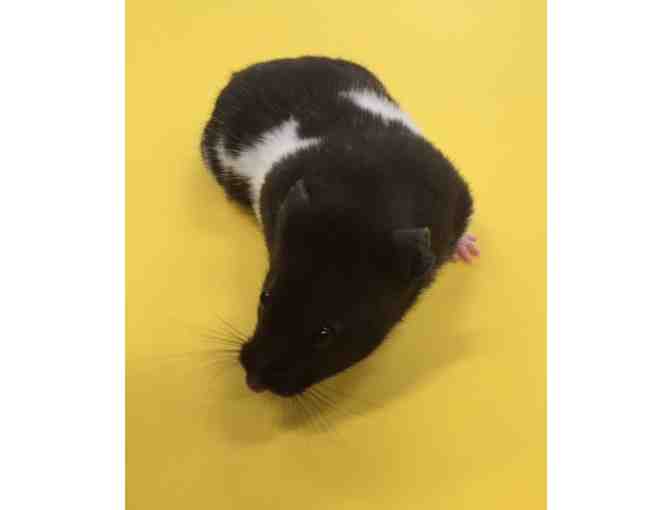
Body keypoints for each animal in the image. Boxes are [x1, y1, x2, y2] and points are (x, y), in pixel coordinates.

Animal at [201, 56, 477, 397]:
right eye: (264, 297)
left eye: (325, 333)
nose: (252, 384)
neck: (364, 205)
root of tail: (242, 73)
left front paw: (469, 252)